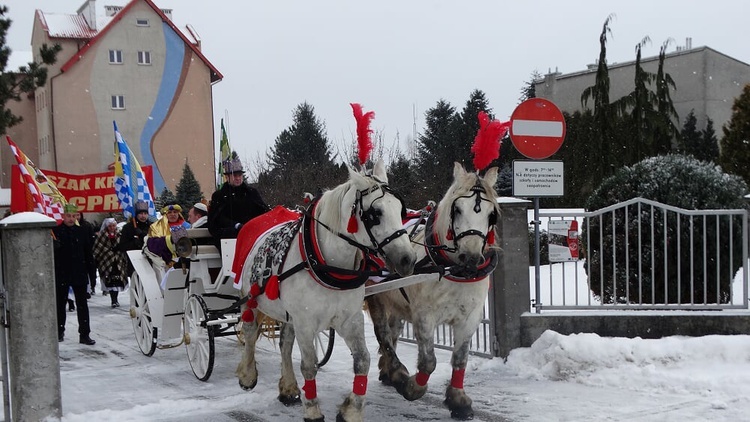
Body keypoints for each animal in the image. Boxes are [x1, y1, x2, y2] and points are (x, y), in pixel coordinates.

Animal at [235, 104, 418, 420]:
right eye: (375, 214)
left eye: (401, 209)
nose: (407, 259)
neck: (329, 266)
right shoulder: (307, 322)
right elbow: (309, 365)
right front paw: (312, 409)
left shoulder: (349, 319)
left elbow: (363, 360)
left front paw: (351, 409)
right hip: (252, 298)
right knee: (249, 330)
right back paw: (248, 374)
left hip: (289, 313)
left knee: (285, 343)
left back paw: (288, 387)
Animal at [364, 110, 506, 420]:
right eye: (457, 209)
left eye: (491, 215)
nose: (471, 259)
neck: (453, 271)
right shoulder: (424, 316)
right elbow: (428, 361)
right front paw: (413, 387)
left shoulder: (470, 316)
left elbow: (460, 358)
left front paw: (458, 400)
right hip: (376, 297)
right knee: (383, 335)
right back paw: (396, 372)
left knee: (392, 332)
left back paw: (387, 371)